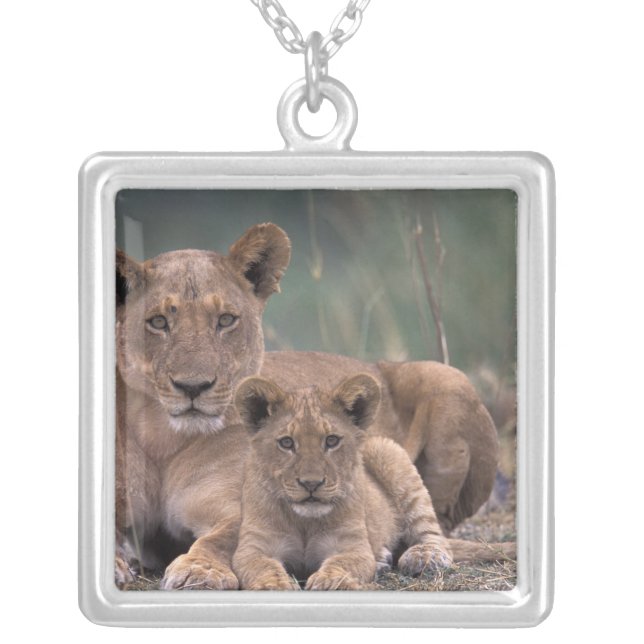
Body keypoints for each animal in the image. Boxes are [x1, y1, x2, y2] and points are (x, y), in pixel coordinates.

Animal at [232, 374, 513, 590]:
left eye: (332, 440)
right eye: (287, 443)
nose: (311, 484)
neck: (304, 523)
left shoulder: (351, 545)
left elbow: (342, 563)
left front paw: (330, 581)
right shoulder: (253, 546)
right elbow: (261, 566)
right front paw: (272, 584)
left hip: (387, 450)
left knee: (436, 538)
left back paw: (423, 556)